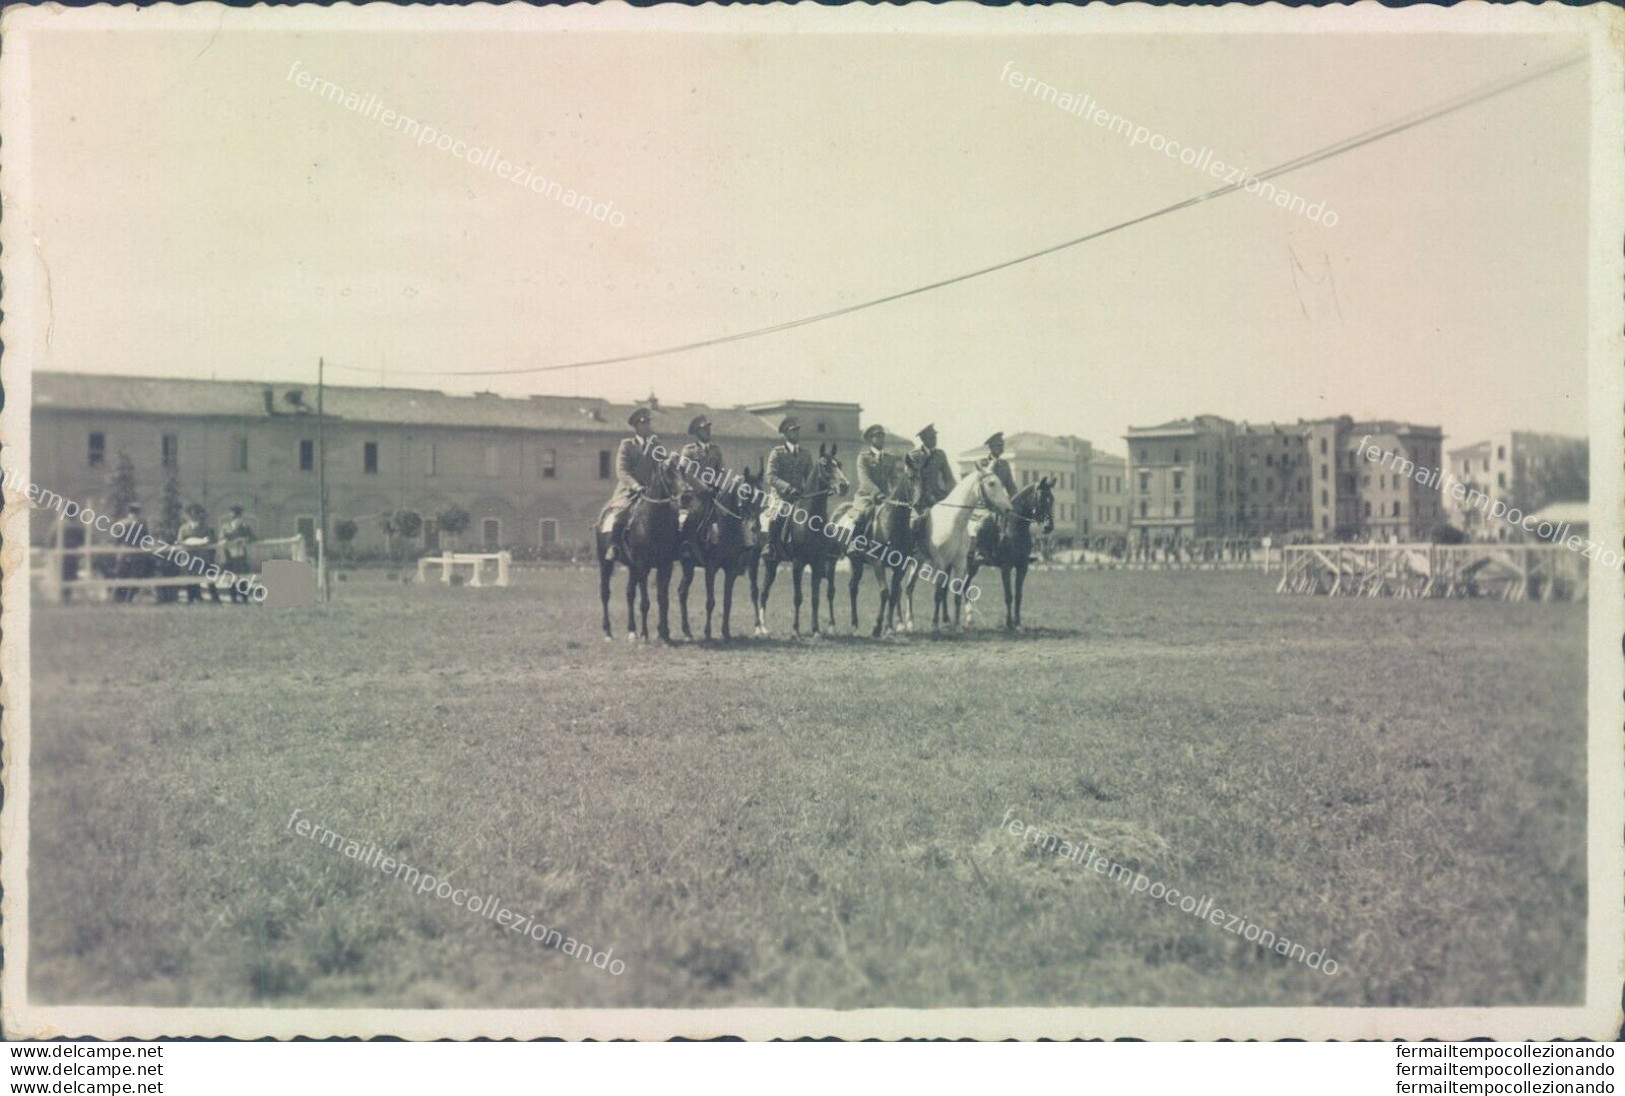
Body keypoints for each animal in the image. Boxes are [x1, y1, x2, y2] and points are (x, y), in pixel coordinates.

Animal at [910, 468, 1007, 630]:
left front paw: (956, 625)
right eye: (992, 483)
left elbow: (957, 593)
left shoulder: (960, 563)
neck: (953, 521)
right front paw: (935, 624)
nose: (1008, 508)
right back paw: (905, 623)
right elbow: (939, 593)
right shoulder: (941, 563)